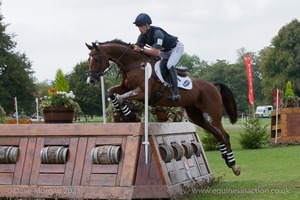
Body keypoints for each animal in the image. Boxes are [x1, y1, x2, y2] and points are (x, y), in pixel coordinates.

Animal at [85, 39, 240, 175]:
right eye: (88, 60)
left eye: (96, 60)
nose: (91, 81)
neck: (134, 64)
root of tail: (212, 85)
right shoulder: (125, 88)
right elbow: (111, 92)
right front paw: (126, 112)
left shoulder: (142, 92)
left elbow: (121, 97)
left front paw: (130, 114)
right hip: (196, 116)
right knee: (217, 135)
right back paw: (227, 160)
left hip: (212, 114)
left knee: (224, 135)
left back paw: (234, 165)